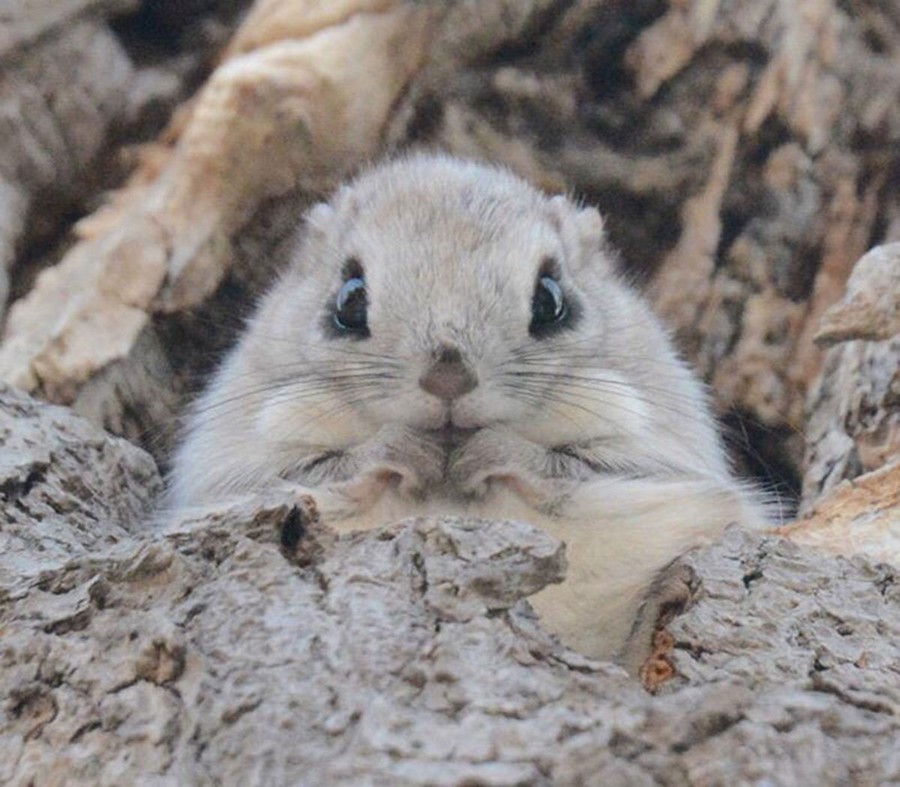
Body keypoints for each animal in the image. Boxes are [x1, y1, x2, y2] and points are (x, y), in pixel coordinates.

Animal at [167, 152, 768, 664]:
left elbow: (576, 468)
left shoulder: (663, 453)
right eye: (348, 299)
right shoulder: (234, 471)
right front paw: (407, 450)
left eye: (552, 299)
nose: (448, 377)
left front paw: (488, 452)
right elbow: (311, 472)